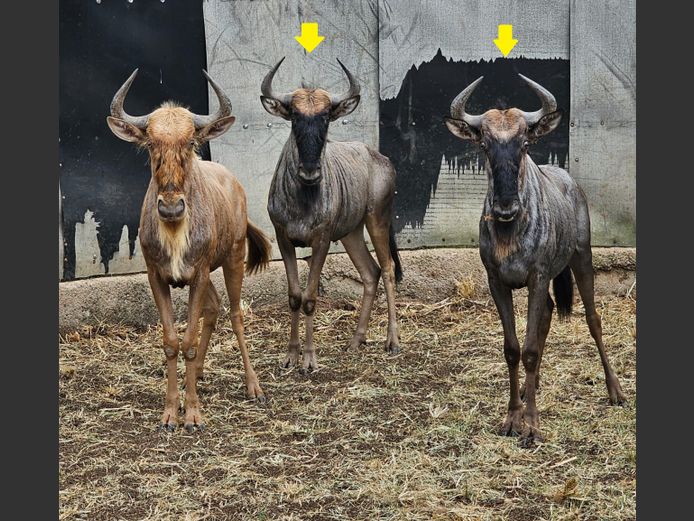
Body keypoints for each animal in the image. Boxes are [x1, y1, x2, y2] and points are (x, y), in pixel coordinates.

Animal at [106, 69, 271, 432]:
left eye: (191, 142)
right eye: (150, 143)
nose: (171, 207)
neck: (174, 232)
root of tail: (234, 183)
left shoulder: (197, 275)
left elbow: (190, 340)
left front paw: (193, 414)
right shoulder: (159, 277)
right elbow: (172, 342)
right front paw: (171, 413)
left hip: (233, 259)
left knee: (235, 313)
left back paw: (254, 386)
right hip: (209, 275)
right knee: (214, 307)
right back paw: (198, 375)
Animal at [260, 58, 403, 371]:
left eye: (326, 117)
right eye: (294, 117)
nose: (310, 172)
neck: (303, 199)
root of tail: (382, 159)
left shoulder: (321, 241)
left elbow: (310, 298)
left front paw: (309, 360)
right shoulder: (284, 239)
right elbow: (294, 296)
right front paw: (291, 356)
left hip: (377, 220)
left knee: (387, 269)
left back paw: (393, 341)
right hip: (351, 233)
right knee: (370, 273)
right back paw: (356, 340)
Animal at [445, 75, 626, 446]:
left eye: (525, 143)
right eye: (484, 145)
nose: (505, 207)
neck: (511, 232)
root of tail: (569, 180)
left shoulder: (538, 277)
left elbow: (528, 349)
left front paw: (531, 426)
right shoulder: (498, 282)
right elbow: (513, 349)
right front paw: (513, 417)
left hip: (582, 259)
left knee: (593, 318)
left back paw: (615, 390)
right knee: (548, 315)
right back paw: (534, 387)